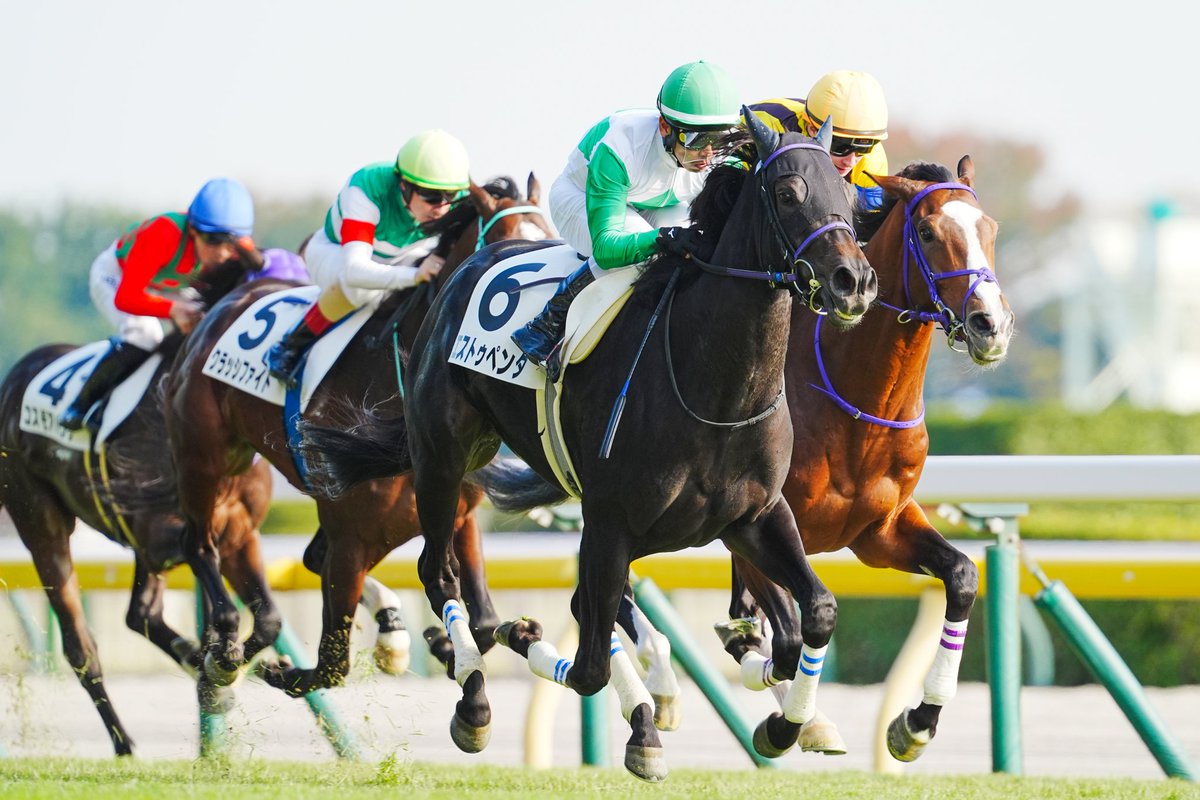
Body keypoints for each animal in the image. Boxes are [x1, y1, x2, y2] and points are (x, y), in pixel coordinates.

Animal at [0, 261, 277, 757]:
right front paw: (220, 661)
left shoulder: (239, 532)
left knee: (139, 614)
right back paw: (124, 742)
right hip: (38, 519)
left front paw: (221, 668)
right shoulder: (159, 531)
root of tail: (14, 377)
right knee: (81, 645)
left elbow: (267, 618)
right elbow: (217, 595)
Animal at [156, 176, 556, 699]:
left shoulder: (459, 518)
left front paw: (445, 645)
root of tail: (230, 299)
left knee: (305, 558)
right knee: (200, 544)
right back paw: (226, 644)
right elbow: (331, 664)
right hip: (204, 458)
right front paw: (277, 669)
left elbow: (486, 624)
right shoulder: (351, 537)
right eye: (511, 259)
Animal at [297, 109, 879, 781]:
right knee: (438, 573)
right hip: (442, 461)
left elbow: (811, 618)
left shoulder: (754, 516)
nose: (854, 282)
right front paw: (548, 656)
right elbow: (590, 661)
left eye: (850, 200)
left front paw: (785, 724)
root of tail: (465, 268)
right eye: (787, 194)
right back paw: (475, 701)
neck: (713, 389)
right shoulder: (610, 522)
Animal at [720, 158, 1015, 762]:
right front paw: (792, 722)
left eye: (990, 229)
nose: (990, 326)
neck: (859, 402)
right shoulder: (755, 524)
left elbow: (962, 575)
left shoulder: (880, 531)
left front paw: (917, 722)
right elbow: (792, 631)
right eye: (927, 232)